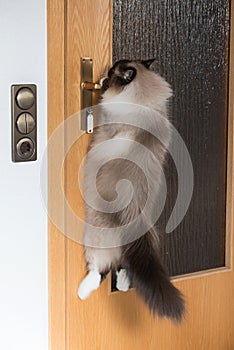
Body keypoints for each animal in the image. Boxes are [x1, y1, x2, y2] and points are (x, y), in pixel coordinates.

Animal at [77, 58, 186, 322]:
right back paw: (124, 286)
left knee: (100, 269)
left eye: (112, 73)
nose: (103, 75)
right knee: (123, 268)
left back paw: (82, 292)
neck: (146, 100)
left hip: (93, 236)